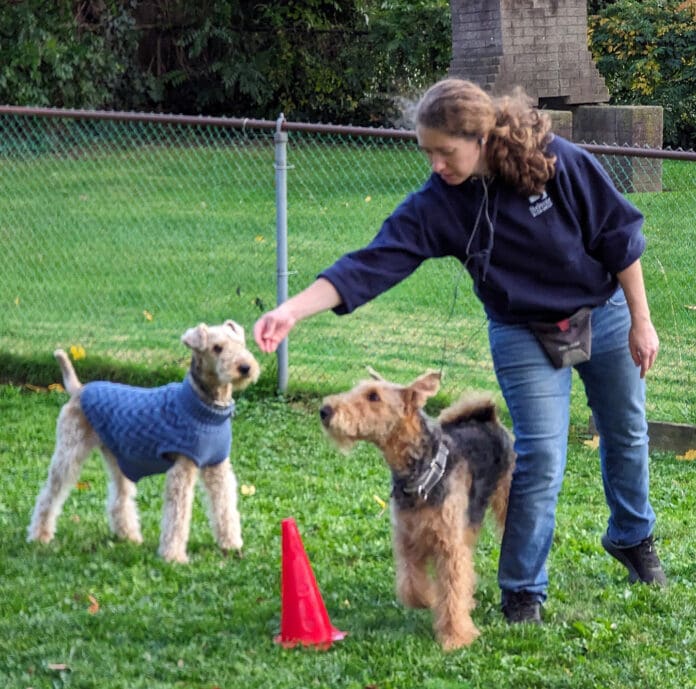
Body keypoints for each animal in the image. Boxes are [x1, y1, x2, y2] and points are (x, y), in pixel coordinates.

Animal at [26, 320, 260, 560]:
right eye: (216, 348)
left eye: (241, 343)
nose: (245, 368)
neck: (206, 408)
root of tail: (79, 389)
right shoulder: (182, 469)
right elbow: (177, 516)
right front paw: (173, 556)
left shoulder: (217, 467)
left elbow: (225, 507)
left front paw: (232, 544)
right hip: (69, 453)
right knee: (48, 496)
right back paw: (40, 536)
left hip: (118, 459)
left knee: (119, 499)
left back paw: (129, 537)